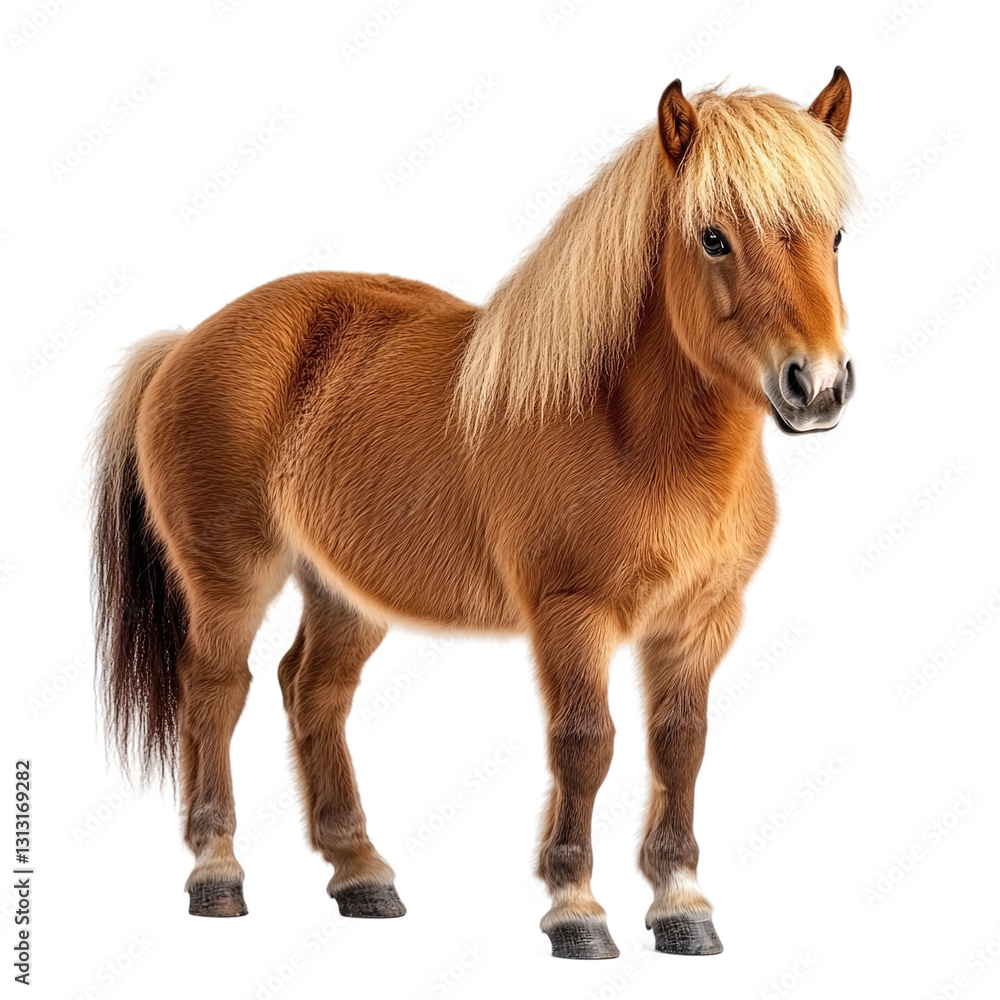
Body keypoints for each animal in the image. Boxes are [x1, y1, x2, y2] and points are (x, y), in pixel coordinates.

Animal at [92, 67, 857, 960]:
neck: (632, 432)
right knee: (216, 689)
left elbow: (681, 745)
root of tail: (185, 342)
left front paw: (682, 904)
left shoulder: (702, 620)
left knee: (311, 690)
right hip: (229, 581)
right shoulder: (572, 617)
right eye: (712, 238)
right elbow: (585, 744)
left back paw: (361, 873)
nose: (819, 385)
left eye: (835, 237)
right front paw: (576, 910)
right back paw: (217, 871)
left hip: (344, 592)